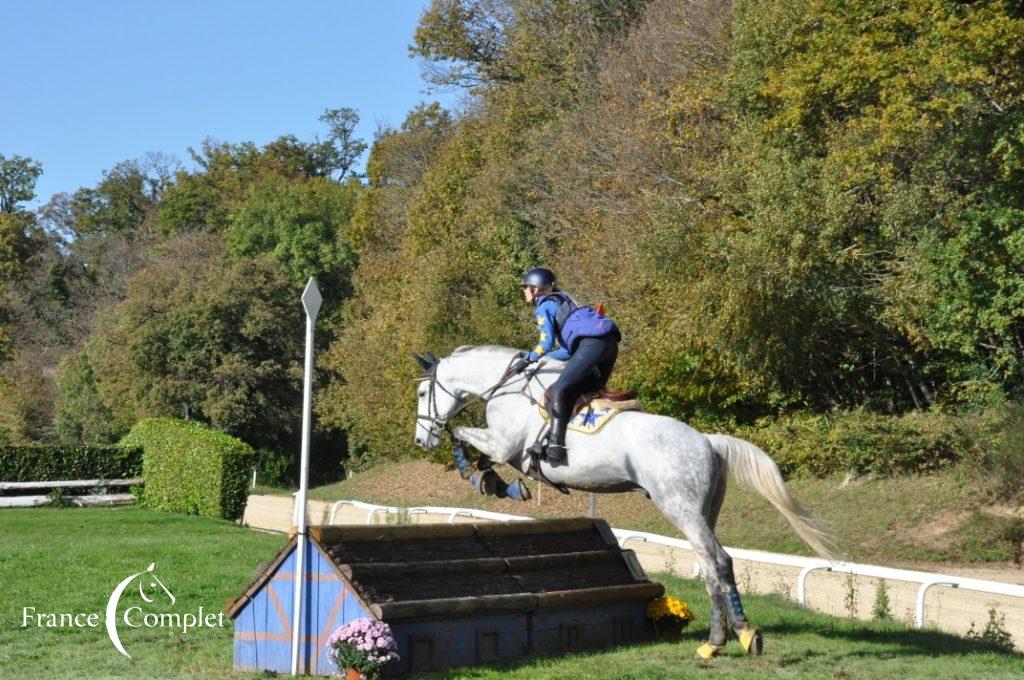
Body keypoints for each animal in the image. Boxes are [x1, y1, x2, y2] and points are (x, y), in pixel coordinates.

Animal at [411, 346, 835, 659]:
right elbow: (477, 449)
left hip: (680, 508)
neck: (506, 387)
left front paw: (483, 477)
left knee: (718, 562)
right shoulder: (504, 448)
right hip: (702, 512)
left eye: (421, 394)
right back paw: (715, 643)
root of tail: (707, 440)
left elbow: (464, 437)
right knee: (709, 567)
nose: (420, 440)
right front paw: (493, 481)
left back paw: (742, 636)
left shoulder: (504, 445)